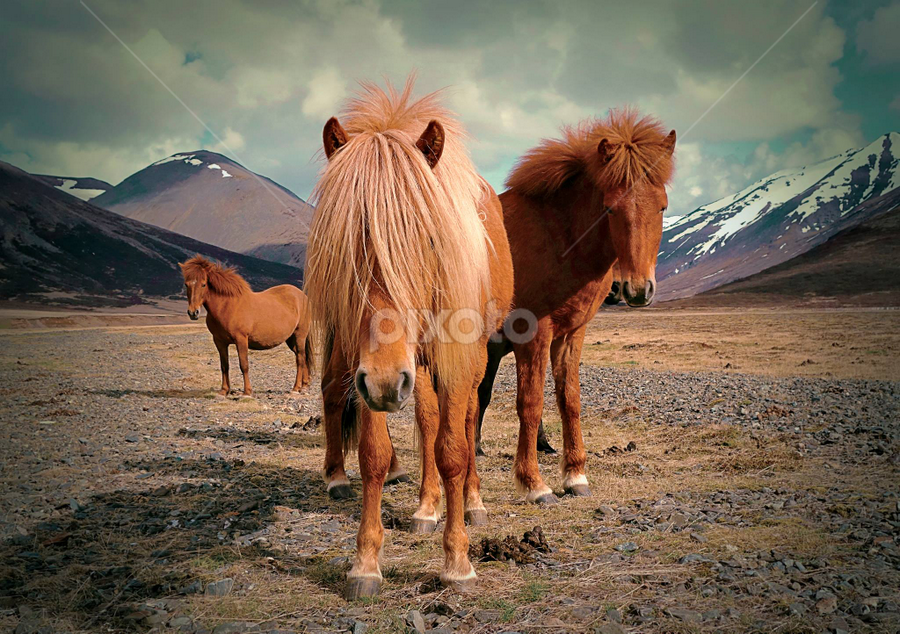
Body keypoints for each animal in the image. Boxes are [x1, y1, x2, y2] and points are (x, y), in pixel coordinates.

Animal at [179, 255, 312, 396]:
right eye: (186, 284)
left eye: (203, 284)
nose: (193, 312)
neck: (226, 306)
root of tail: (303, 296)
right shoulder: (219, 342)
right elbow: (224, 366)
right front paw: (224, 390)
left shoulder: (241, 339)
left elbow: (244, 365)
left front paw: (247, 391)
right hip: (290, 339)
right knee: (302, 357)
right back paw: (304, 385)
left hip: (300, 336)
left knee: (300, 358)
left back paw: (296, 388)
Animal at [304, 78, 513, 599]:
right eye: (343, 246)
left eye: (429, 241)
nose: (384, 380)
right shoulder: (371, 372)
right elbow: (376, 455)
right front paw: (365, 562)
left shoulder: (455, 363)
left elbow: (454, 450)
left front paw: (457, 561)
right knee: (427, 420)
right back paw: (425, 506)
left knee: (464, 424)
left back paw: (472, 502)